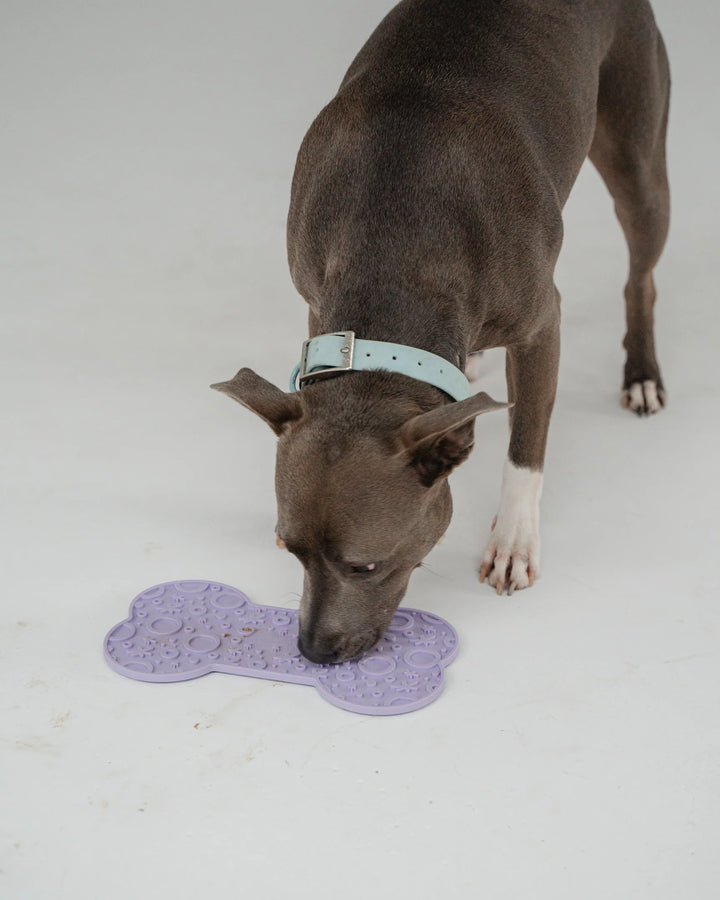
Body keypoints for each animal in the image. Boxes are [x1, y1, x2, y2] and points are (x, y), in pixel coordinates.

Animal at [212, 0, 668, 660]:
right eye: (287, 548)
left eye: (367, 566)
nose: (314, 652)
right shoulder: (317, 310)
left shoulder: (541, 325)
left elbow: (526, 445)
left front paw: (513, 540)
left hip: (637, 159)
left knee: (641, 275)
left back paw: (641, 375)